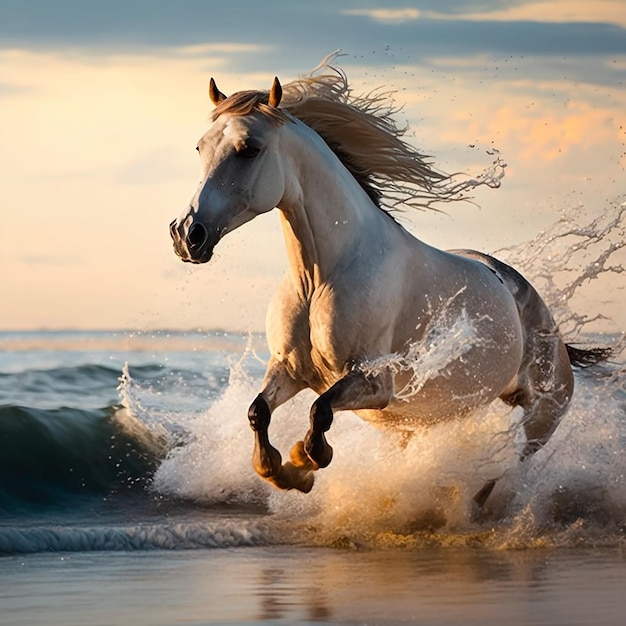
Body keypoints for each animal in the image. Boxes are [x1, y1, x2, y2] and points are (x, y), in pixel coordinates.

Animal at [169, 58, 604, 504]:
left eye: (249, 149)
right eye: (201, 147)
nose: (187, 234)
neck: (320, 279)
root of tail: (540, 313)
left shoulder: (375, 383)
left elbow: (318, 414)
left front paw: (303, 462)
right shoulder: (290, 371)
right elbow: (258, 412)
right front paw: (283, 471)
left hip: (540, 417)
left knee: (505, 467)